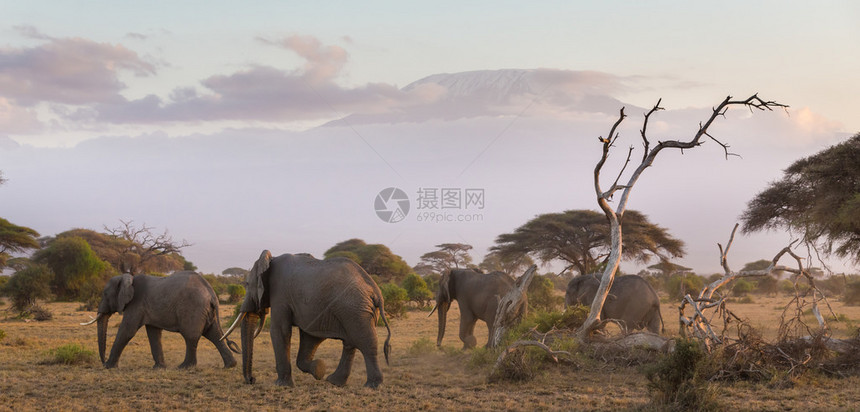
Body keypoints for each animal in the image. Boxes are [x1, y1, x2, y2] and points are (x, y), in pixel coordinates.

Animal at [80, 272, 239, 368]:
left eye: (105, 294)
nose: (103, 362)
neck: (128, 278)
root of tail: (211, 292)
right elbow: (153, 333)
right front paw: (159, 367)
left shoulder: (136, 304)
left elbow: (127, 331)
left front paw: (109, 367)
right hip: (206, 311)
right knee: (214, 334)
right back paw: (230, 365)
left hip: (193, 307)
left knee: (191, 336)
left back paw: (184, 367)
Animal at [222, 249, 396, 388]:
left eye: (246, 283)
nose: (252, 380)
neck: (270, 260)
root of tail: (376, 291)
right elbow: (310, 336)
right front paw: (319, 370)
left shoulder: (280, 294)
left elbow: (280, 330)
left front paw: (281, 385)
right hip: (355, 310)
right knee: (350, 342)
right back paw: (334, 382)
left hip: (354, 308)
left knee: (365, 342)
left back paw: (372, 385)